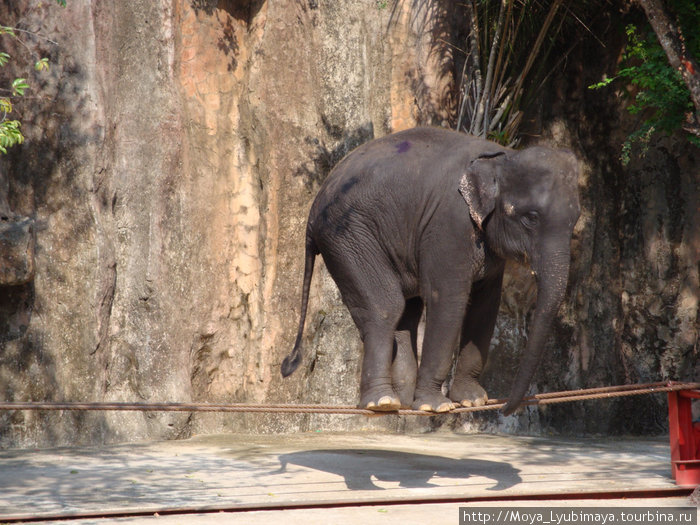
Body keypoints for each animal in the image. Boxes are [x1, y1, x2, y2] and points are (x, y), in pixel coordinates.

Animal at [278, 126, 580, 414]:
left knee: (405, 314)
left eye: (575, 220)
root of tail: (312, 212)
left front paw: (472, 400)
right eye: (531, 218)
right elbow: (447, 300)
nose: (505, 408)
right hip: (348, 239)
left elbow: (485, 305)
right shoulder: (448, 224)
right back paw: (383, 402)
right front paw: (436, 406)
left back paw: (401, 402)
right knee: (385, 308)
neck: (503, 157)